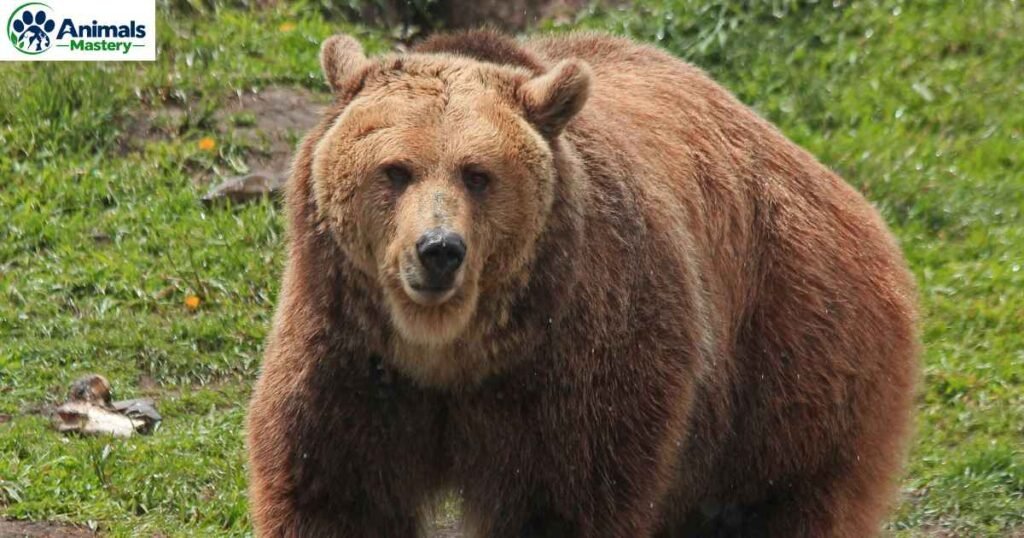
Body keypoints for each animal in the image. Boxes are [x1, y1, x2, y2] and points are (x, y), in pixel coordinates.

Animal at [246, 30, 919, 537]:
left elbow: (562, 501)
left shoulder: (579, 361)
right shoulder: (350, 358)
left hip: (789, 356)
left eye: (477, 174)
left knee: (777, 502)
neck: (447, 353)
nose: (438, 251)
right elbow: (337, 496)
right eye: (395, 170)